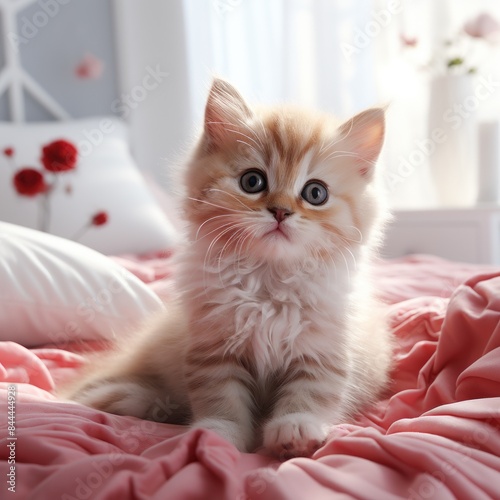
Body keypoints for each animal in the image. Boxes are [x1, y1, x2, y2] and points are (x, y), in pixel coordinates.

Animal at [67, 77, 394, 458]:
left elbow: (311, 393)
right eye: (253, 182)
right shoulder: (213, 350)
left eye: (316, 193)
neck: (268, 282)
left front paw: (296, 428)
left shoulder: (321, 350)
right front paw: (219, 435)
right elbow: (222, 401)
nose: (280, 211)